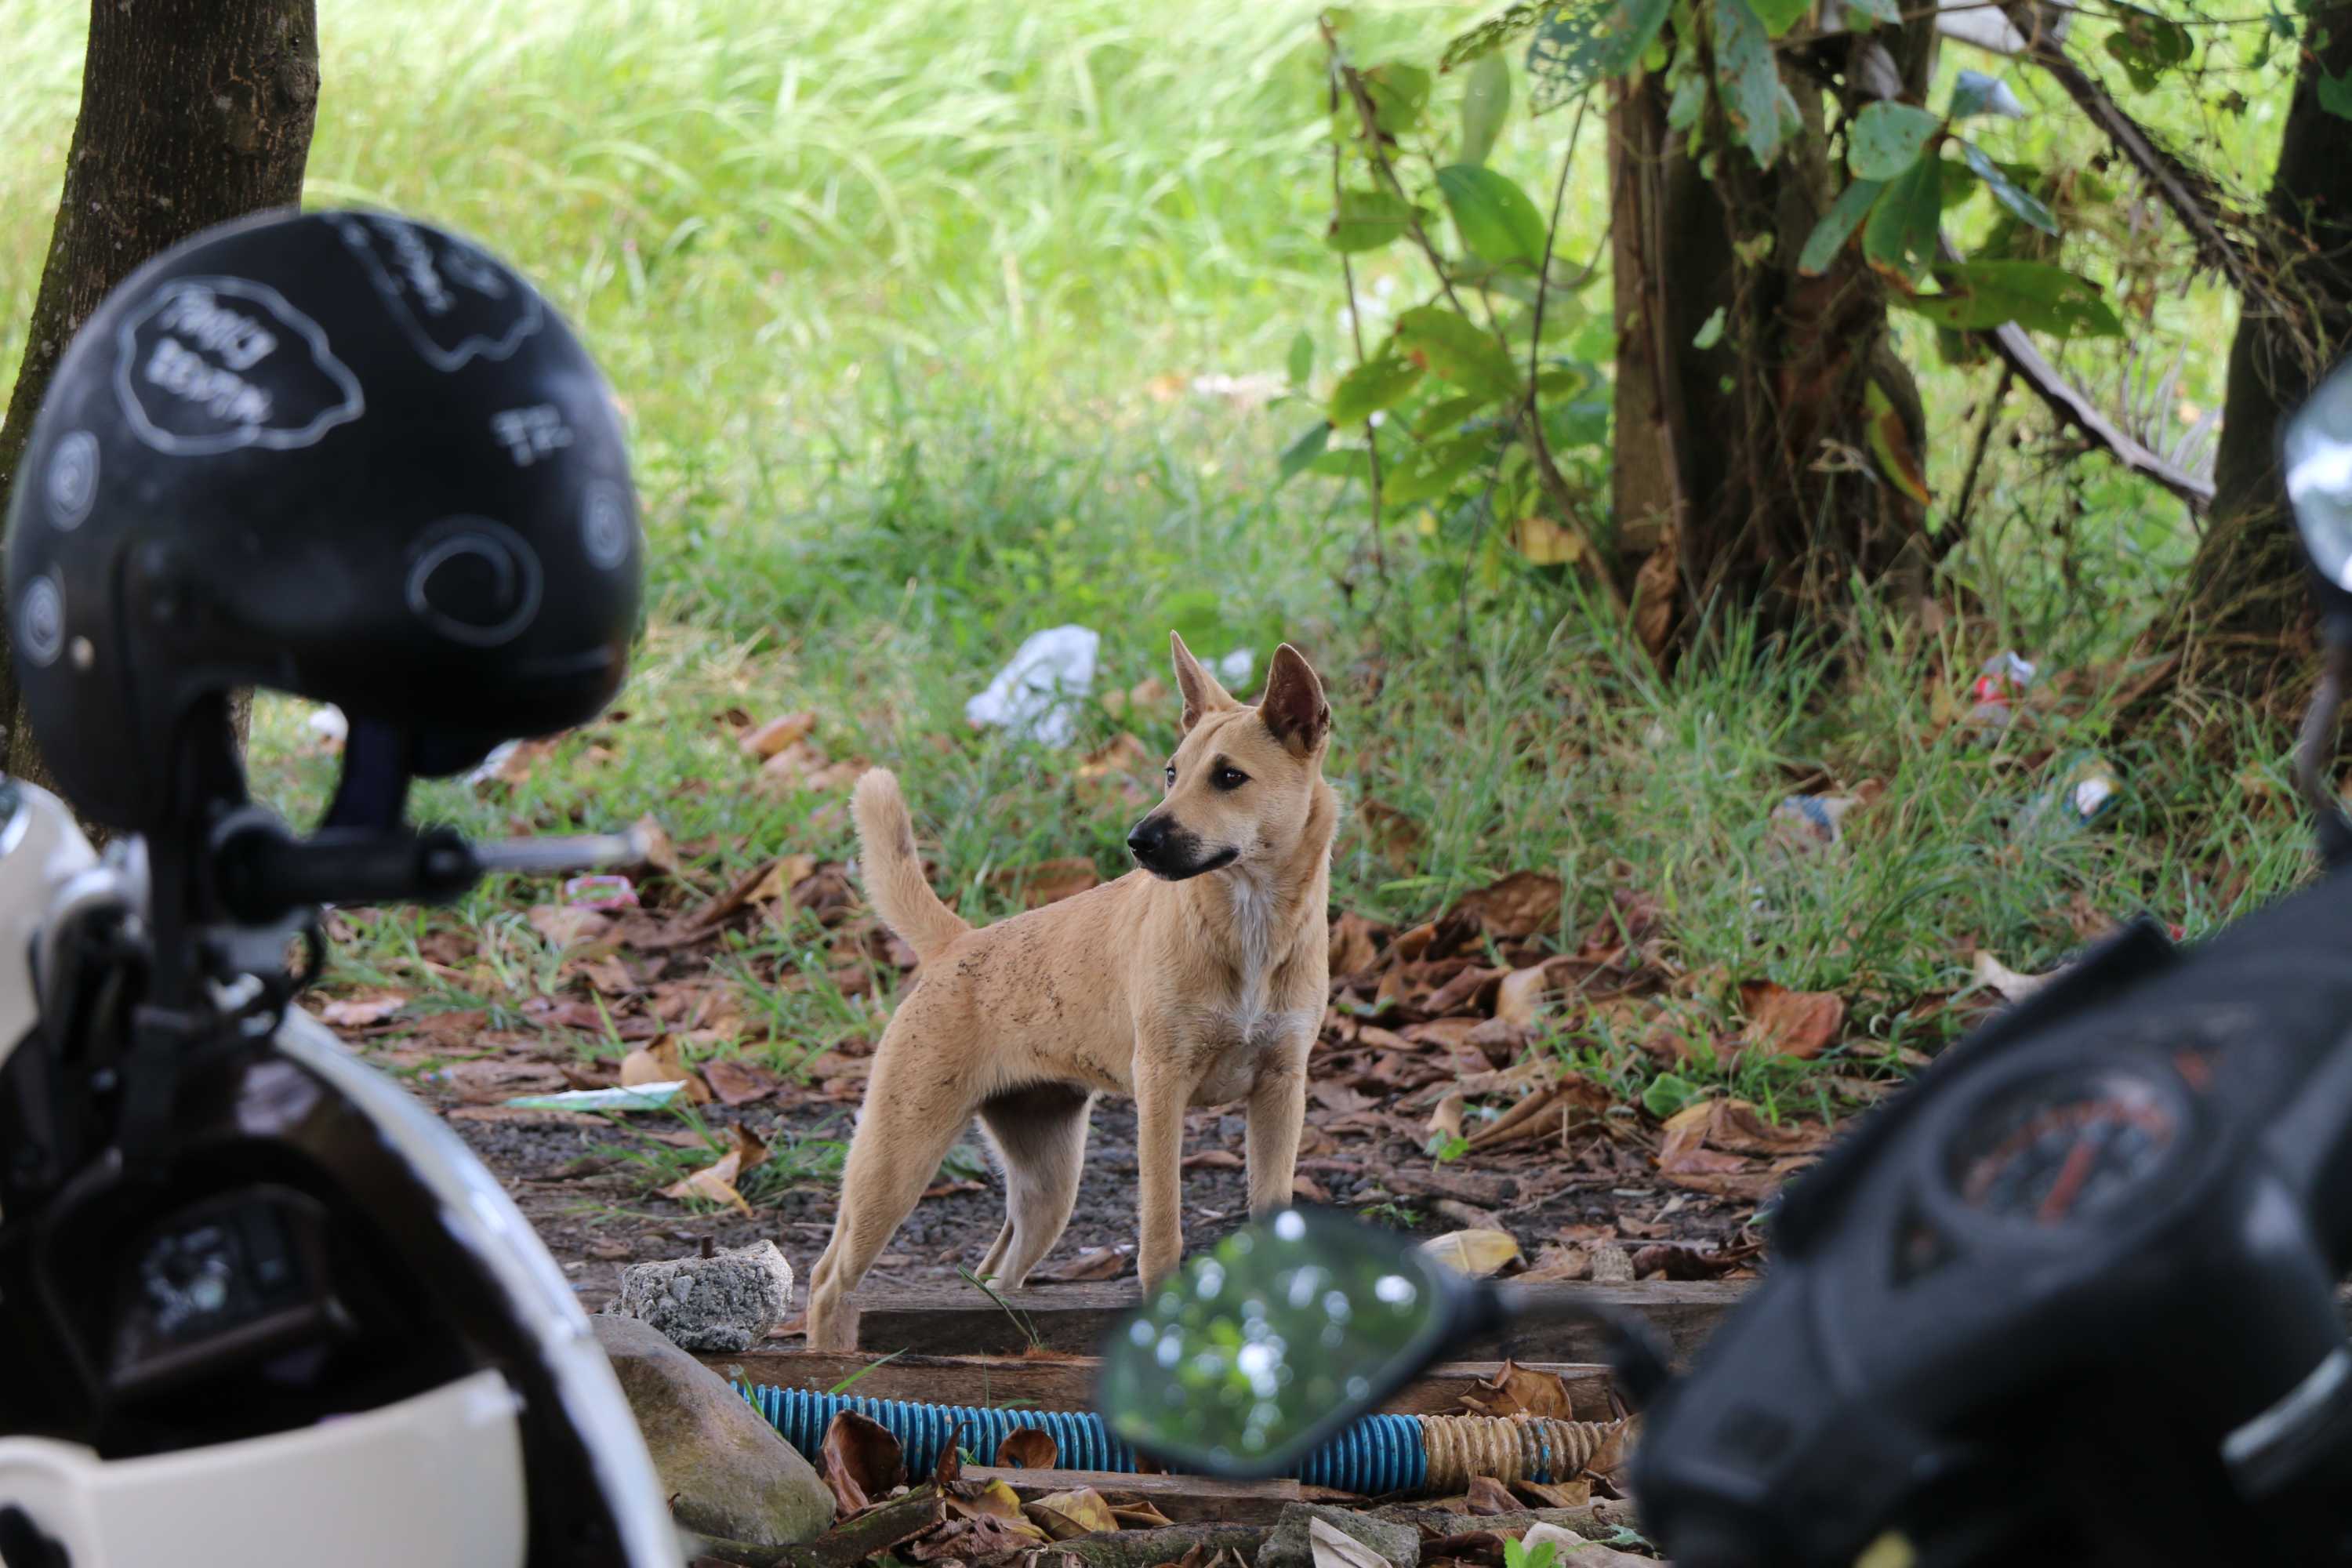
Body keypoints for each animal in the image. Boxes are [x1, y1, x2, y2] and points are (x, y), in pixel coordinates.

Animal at [809, 634, 1336, 1354]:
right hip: (895, 1161)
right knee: (827, 1279)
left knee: (995, 1270)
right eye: (1172, 773)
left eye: (1229, 777)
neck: (1248, 925)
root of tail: (956, 944)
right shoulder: (1162, 1088)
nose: (1138, 841)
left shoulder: (1282, 1089)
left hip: (1047, 1186)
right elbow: (1161, 1233)